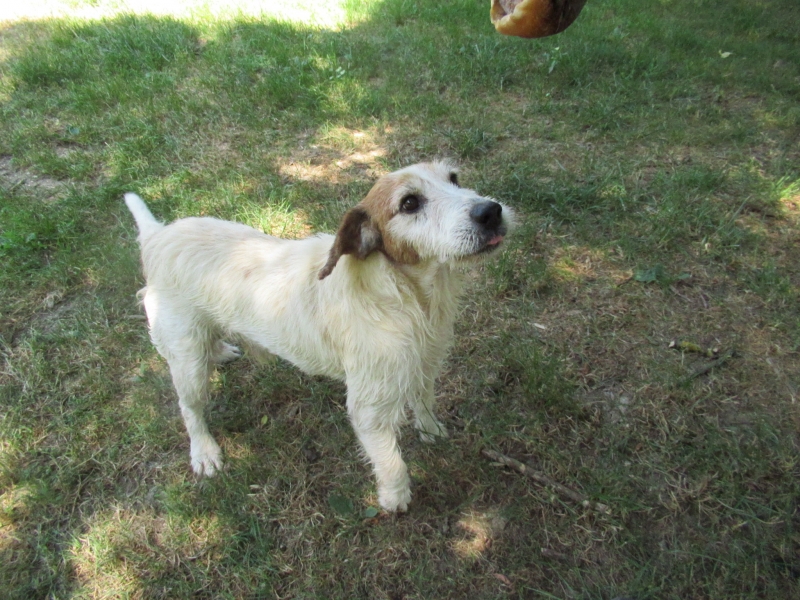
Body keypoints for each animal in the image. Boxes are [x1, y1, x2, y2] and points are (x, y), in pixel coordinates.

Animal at [125, 161, 512, 512]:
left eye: (454, 178)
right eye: (409, 203)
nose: (490, 211)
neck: (406, 294)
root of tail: (158, 235)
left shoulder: (424, 361)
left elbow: (424, 401)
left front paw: (431, 431)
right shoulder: (369, 407)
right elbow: (390, 461)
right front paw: (394, 499)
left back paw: (220, 350)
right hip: (187, 361)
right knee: (189, 407)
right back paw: (204, 451)